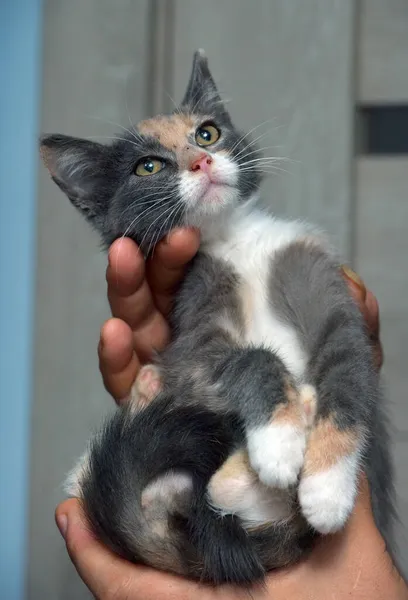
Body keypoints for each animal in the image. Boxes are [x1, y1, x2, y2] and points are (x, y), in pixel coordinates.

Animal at [39, 49, 394, 584]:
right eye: (148, 166)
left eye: (207, 133)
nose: (202, 161)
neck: (235, 239)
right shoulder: (196, 319)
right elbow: (239, 358)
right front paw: (278, 440)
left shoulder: (322, 282)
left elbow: (348, 365)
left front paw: (327, 488)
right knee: (209, 491)